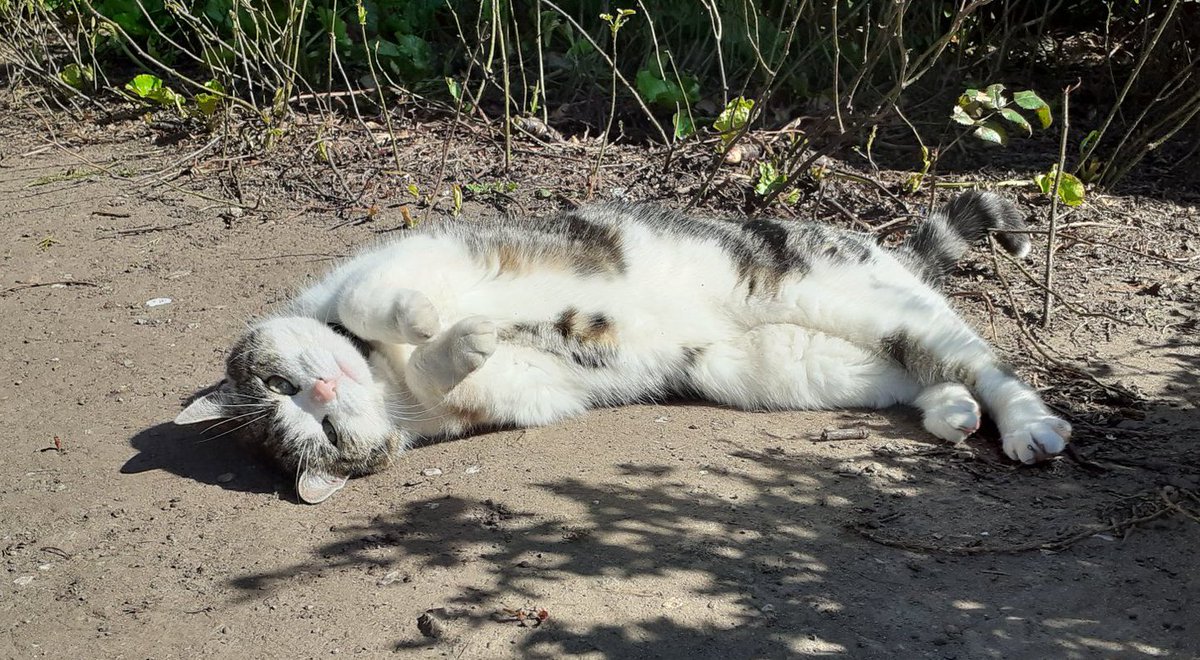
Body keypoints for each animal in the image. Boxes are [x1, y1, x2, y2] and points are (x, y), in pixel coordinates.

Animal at [175, 194, 1070, 504]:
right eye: (321, 440)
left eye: (280, 384)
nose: (325, 395)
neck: (382, 378)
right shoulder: (520, 391)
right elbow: (457, 371)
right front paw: (461, 342)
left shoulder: (403, 257)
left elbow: (374, 301)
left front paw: (429, 320)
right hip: (798, 366)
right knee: (921, 370)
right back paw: (953, 413)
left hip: (850, 292)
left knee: (983, 358)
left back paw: (1030, 426)